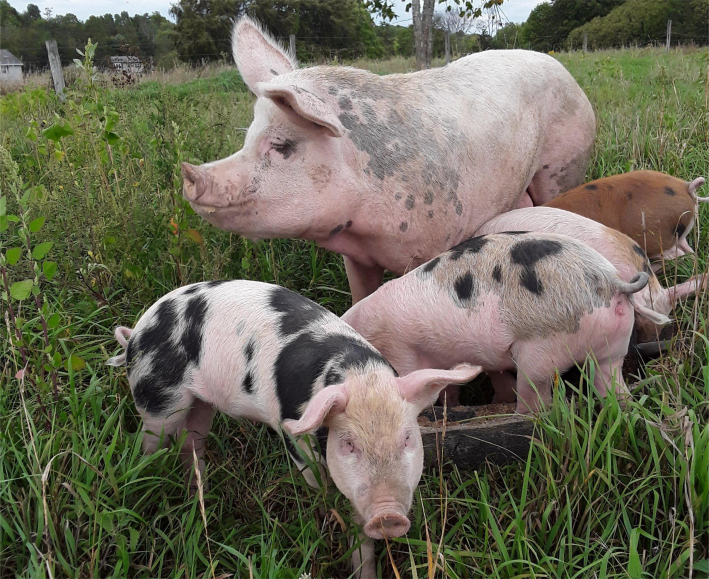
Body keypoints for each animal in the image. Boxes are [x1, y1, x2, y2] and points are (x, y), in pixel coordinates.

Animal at [106, 280, 481, 579]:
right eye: (348, 444)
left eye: (407, 439)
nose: (388, 516)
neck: (360, 376)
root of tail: (136, 333)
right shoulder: (294, 437)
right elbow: (319, 486)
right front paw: (325, 514)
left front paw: (364, 569)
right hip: (158, 397)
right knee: (152, 441)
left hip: (201, 404)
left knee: (191, 443)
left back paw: (201, 498)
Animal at [181, 17, 595, 303]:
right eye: (248, 139)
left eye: (282, 145)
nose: (190, 174)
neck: (363, 225)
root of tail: (564, 72)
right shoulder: (357, 257)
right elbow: (360, 296)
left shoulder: (437, 239)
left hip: (564, 164)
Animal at [342, 233, 651, 413]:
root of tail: (611, 281)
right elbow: (450, 386)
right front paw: (454, 406)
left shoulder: (400, 349)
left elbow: (413, 377)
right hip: (614, 346)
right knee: (610, 382)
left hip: (541, 350)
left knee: (537, 397)